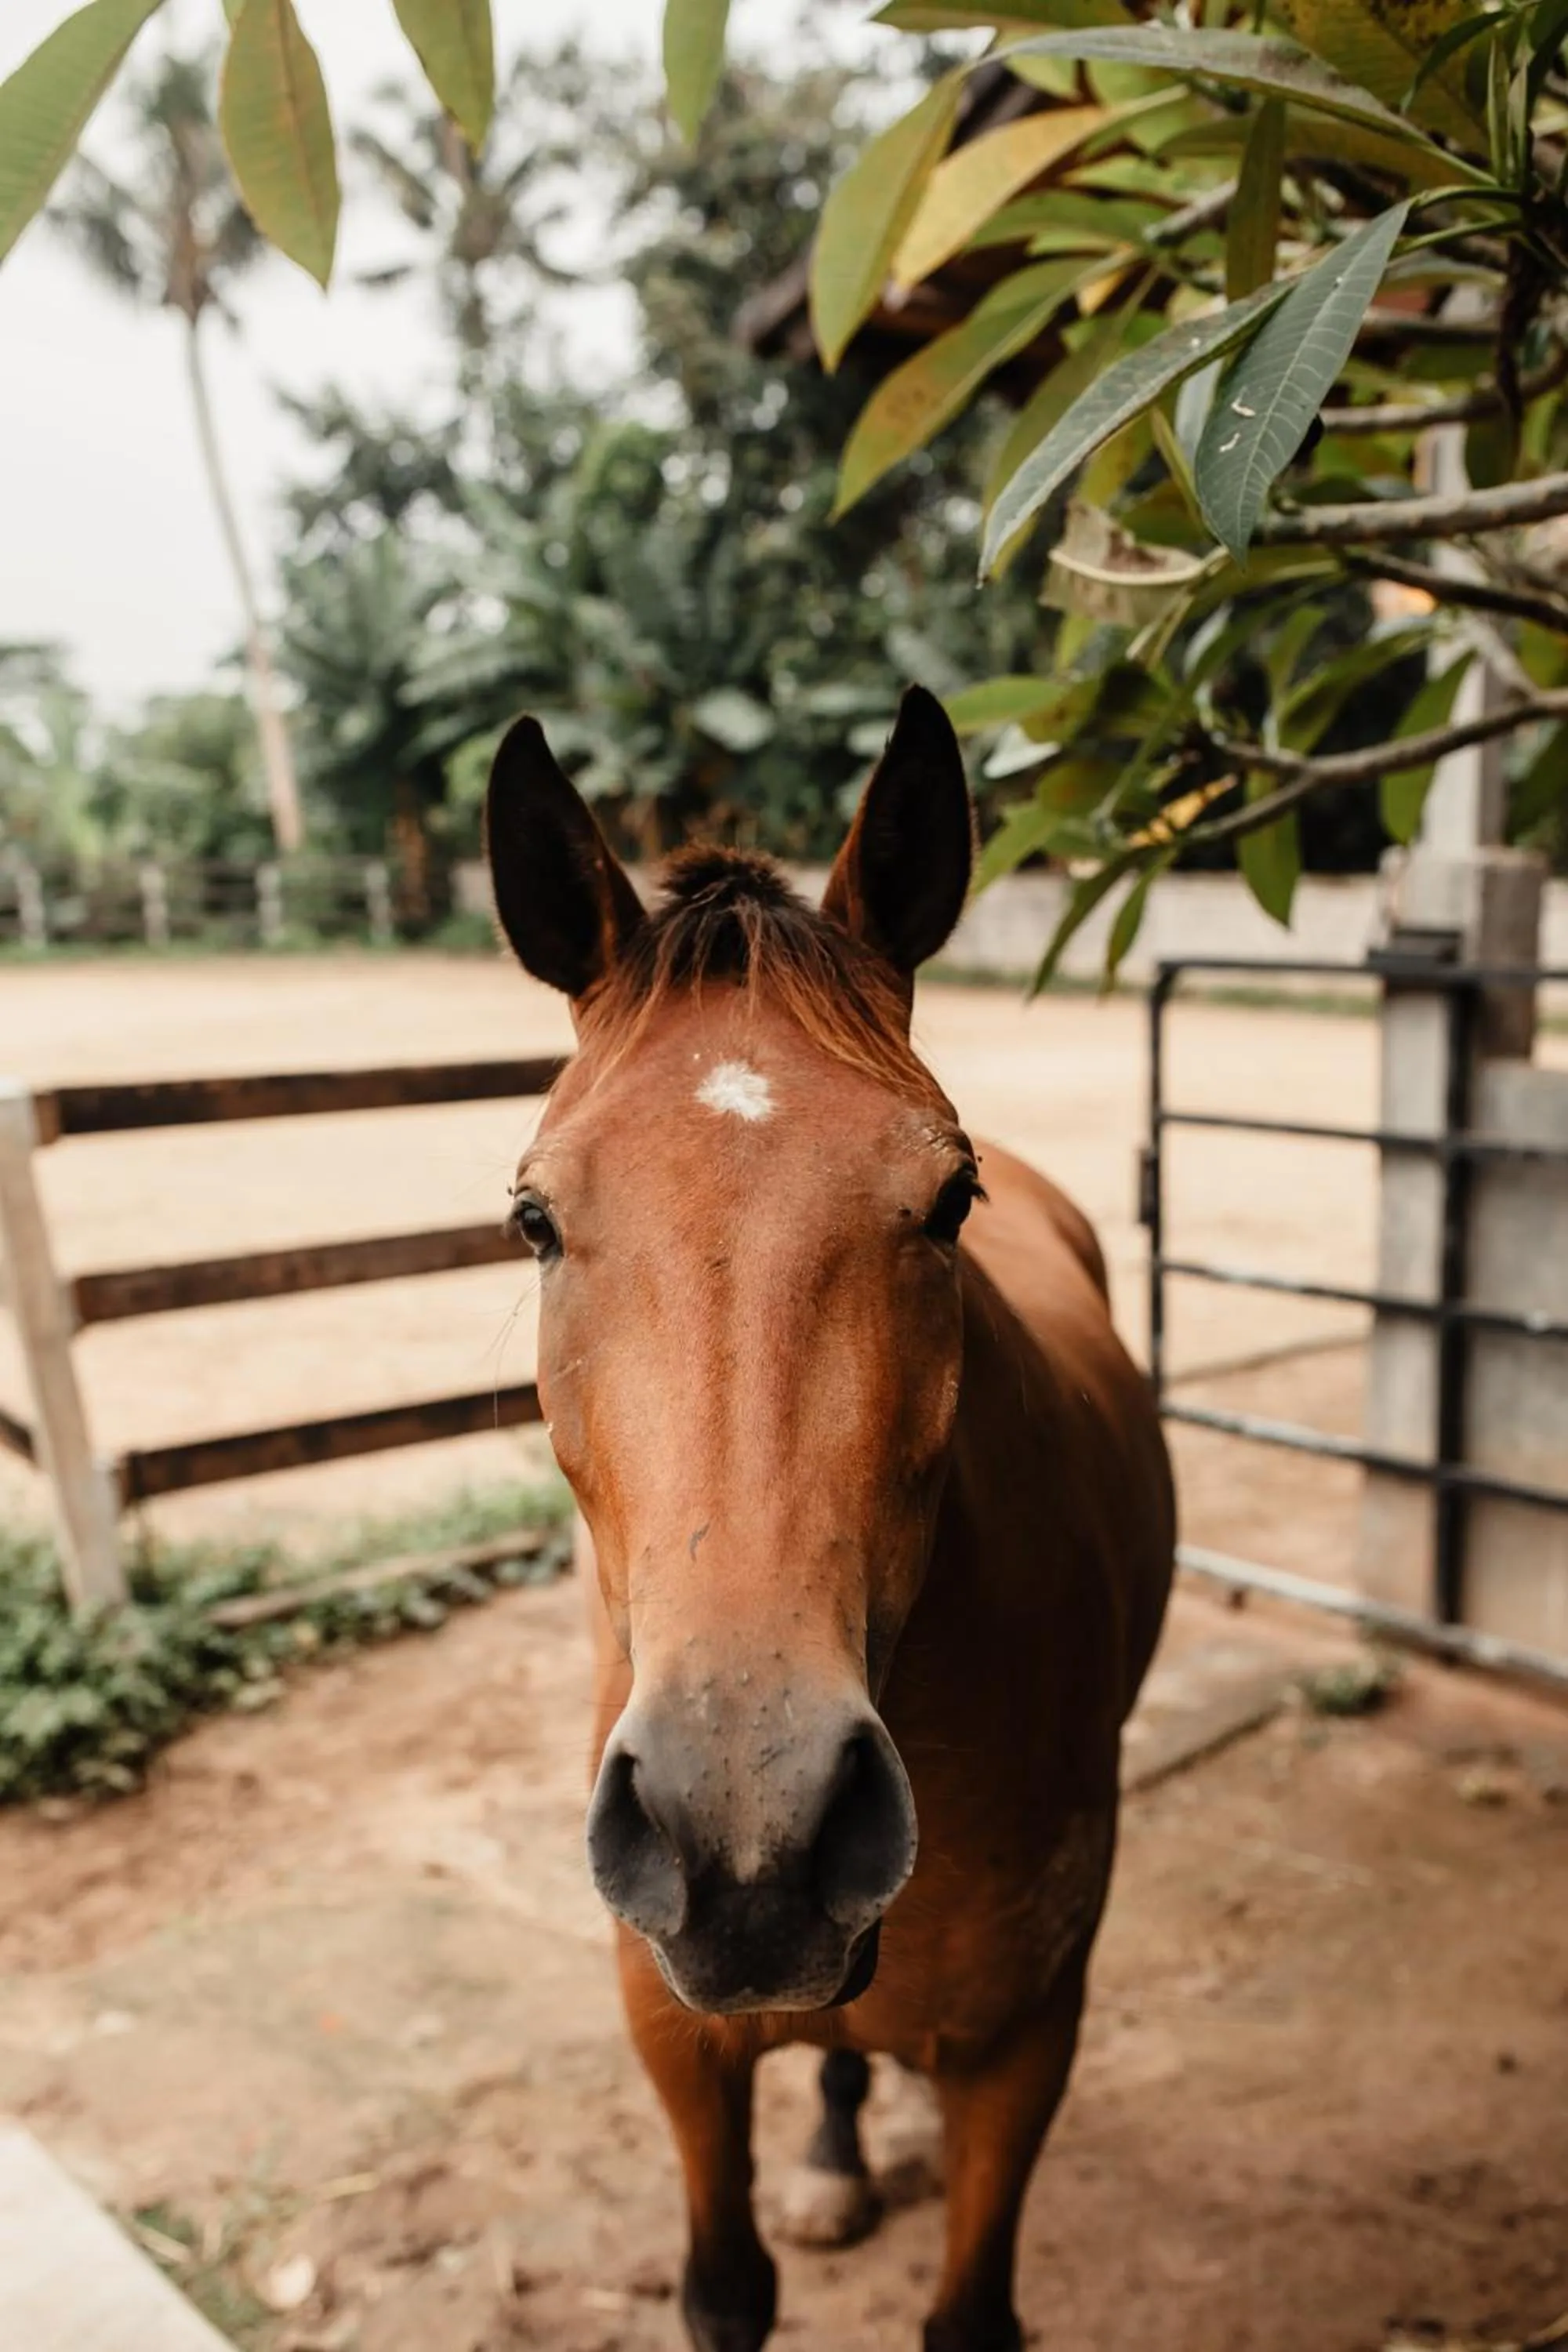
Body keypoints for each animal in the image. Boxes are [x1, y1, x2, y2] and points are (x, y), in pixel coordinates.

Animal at [485, 685, 1175, 2352]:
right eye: (536, 1219)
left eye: (949, 1199)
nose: (750, 1828)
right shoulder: (674, 2039)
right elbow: (726, 2291)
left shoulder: (1027, 2043)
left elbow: (970, 2315)